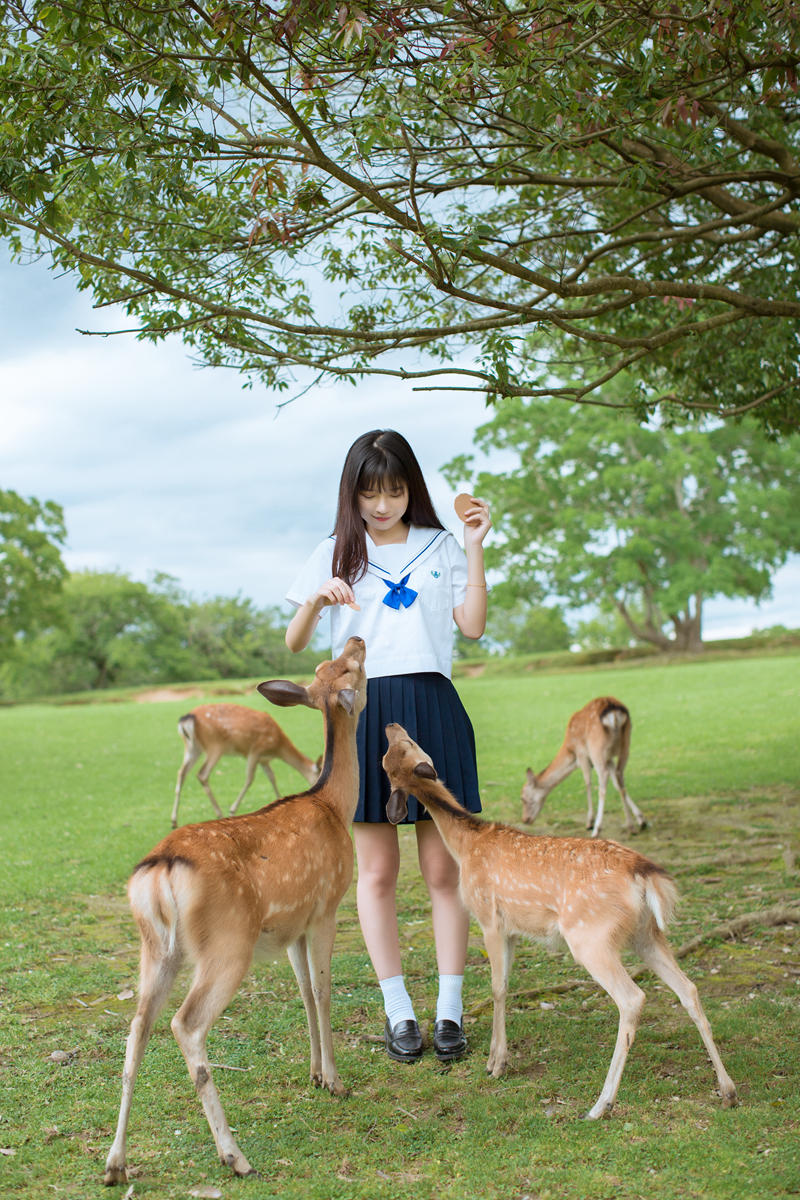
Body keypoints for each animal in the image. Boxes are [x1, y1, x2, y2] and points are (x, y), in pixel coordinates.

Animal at [170, 700, 321, 830]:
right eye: (319, 774)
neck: (278, 747)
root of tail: (188, 718)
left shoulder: (264, 760)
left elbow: (272, 778)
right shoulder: (255, 750)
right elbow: (250, 779)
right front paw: (232, 810)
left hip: (193, 747)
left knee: (181, 772)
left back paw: (174, 820)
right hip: (215, 745)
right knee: (202, 774)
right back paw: (219, 813)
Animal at [381, 720, 738, 1123]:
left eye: (407, 742)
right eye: (387, 757)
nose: (390, 723)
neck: (467, 845)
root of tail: (644, 874)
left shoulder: (488, 917)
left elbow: (497, 988)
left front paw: (497, 1064)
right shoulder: (513, 930)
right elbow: (505, 985)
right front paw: (495, 1060)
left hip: (590, 937)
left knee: (633, 998)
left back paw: (601, 1104)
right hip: (646, 934)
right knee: (688, 989)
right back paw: (728, 1090)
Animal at [522, 700, 647, 840]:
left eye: (523, 798)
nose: (525, 819)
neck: (570, 749)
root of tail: (614, 713)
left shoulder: (582, 753)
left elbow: (587, 782)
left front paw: (589, 822)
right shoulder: (609, 759)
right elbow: (617, 784)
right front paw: (641, 820)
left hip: (597, 748)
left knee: (603, 779)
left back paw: (597, 829)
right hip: (625, 744)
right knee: (620, 775)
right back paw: (631, 827)